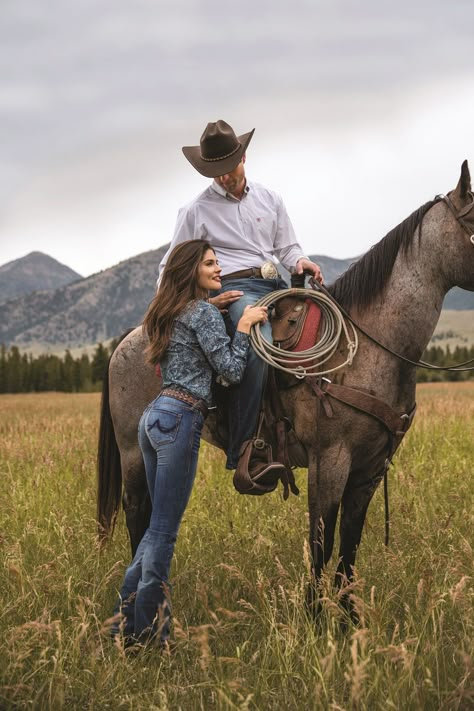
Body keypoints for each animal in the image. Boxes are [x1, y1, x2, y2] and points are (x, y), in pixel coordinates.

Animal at [96, 159, 474, 616]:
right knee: (138, 513)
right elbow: (321, 542)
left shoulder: (370, 467)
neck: (371, 347)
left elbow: (349, 546)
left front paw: (349, 620)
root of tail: (133, 335)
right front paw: (314, 617)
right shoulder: (329, 461)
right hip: (133, 452)